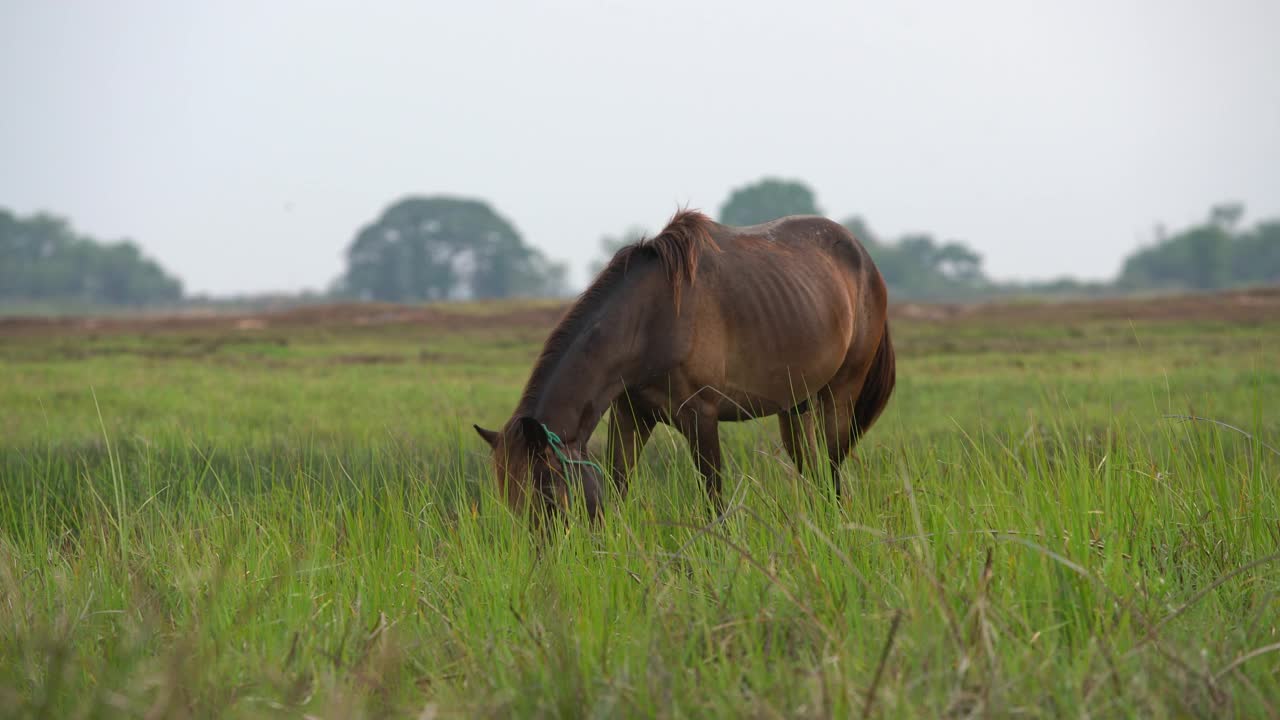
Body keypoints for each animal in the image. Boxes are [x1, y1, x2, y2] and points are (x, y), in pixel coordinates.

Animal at [473, 208, 901, 520]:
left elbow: (713, 500)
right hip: (795, 406)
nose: (543, 557)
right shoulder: (631, 414)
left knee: (831, 472)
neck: (650, 320)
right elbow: (618, 485)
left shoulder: (701, 417)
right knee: (813, 473)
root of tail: (865, 259)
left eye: (546, 493)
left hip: (839, 396)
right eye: (510, 498)